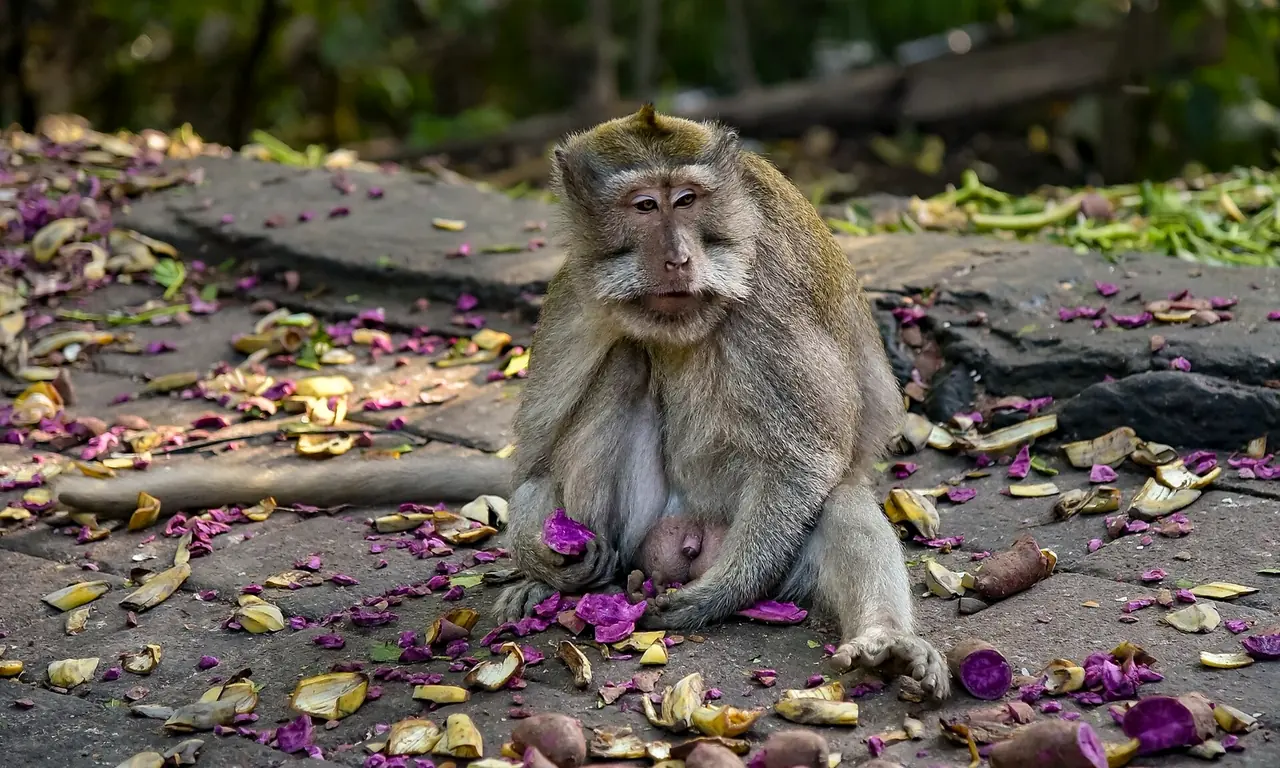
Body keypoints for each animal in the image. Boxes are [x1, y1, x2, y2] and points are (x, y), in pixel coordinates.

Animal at [51, 106, 947, 698]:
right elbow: (540, 449)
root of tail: (684, 536)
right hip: (634, 530)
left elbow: (805, 457)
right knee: (623, 371)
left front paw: (720, 596)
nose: (677, 256)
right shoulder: (576, 292)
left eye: (688, 200)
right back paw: (560, 583)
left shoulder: (767, 294)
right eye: (644, 206)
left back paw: (885, 643)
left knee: (838, 504)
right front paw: (530, 550)